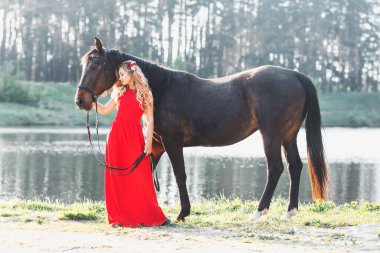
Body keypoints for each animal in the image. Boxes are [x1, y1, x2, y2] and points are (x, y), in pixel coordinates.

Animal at [75, 37, 330, 221]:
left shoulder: (172, 143)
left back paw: (259, 212)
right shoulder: (155, 145)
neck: (161, 89)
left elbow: (180, 176)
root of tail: (295, 75)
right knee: (295, 166)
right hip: (288, 135)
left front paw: (182, 213)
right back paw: (290, 212)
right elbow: (147, 172)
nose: (81, 100)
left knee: (275, 168)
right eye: (84, 64)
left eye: (96, 65)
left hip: (272, 136)